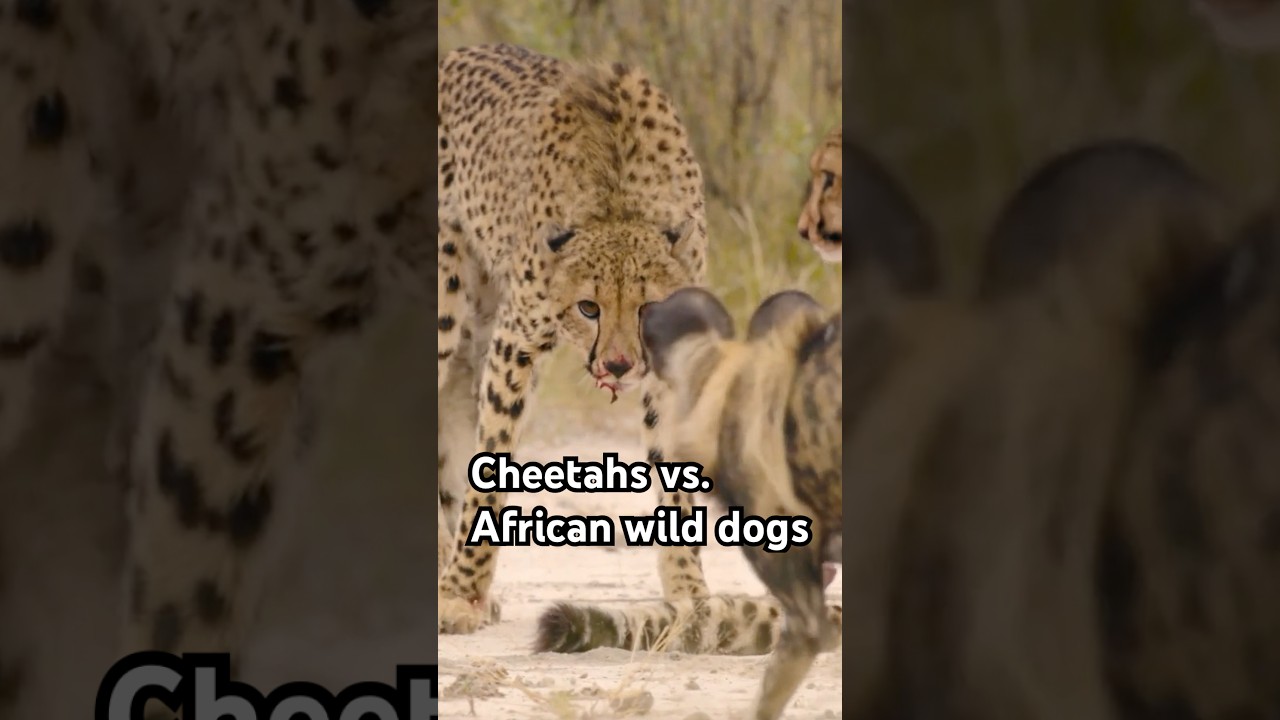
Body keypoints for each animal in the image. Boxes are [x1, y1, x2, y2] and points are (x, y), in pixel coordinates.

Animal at [435, 43, 716, 635]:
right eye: (589, 307)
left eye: (648, 307)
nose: (618, 366)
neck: (619, 200)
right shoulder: (515, 342)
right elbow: (489, 470)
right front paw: (459, 592)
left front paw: (689, 592)